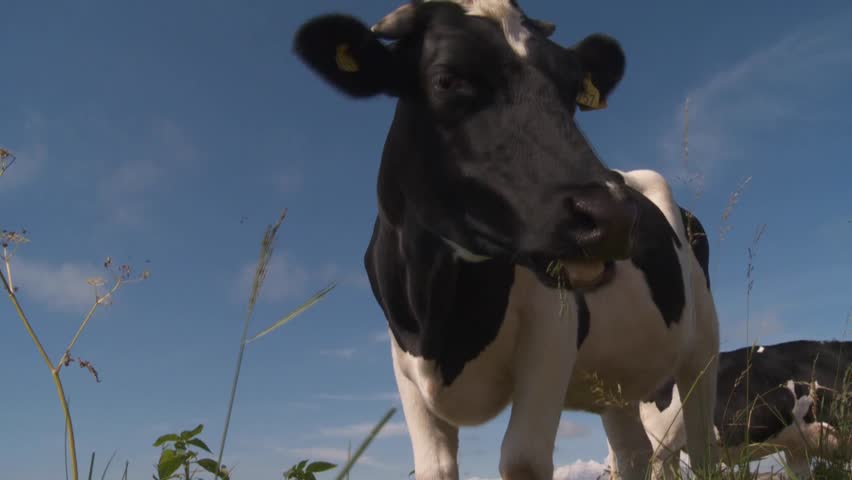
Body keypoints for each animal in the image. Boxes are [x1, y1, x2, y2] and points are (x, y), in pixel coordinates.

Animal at [292, 1, 721, 479]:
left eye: (573, 91)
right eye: (448, 79)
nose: (613, 216)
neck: (441, 315)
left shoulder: (551, 337)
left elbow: (522, 458)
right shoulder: (404, 366)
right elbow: (434, 466)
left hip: (702, 350)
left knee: (700, 448)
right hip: (617, 381)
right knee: (633, 452)